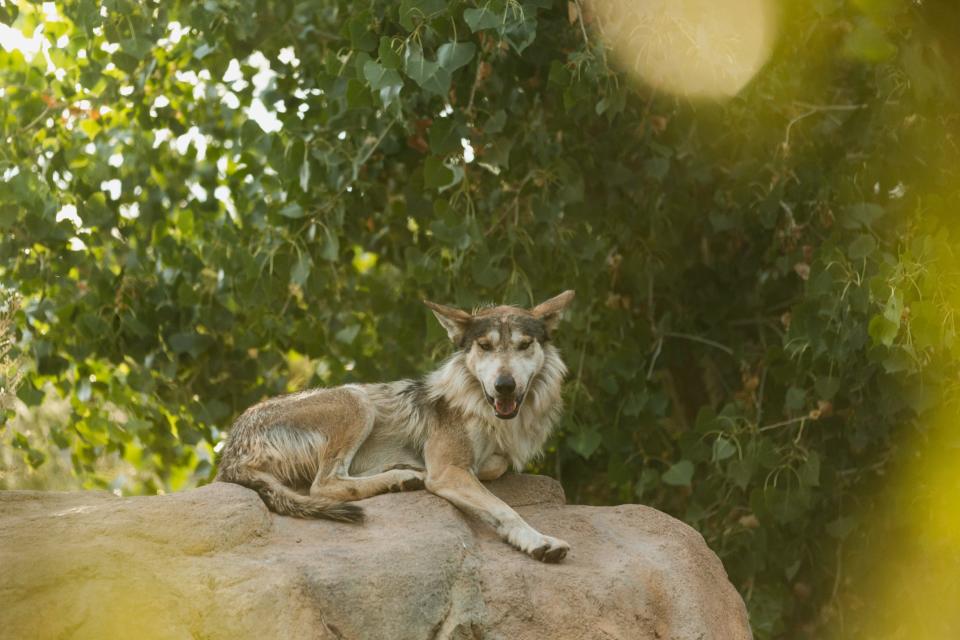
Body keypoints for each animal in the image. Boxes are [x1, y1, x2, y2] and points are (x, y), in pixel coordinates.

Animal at [217, 290, 572, 560]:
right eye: (485, 346)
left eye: (524, 345)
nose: (505, 386)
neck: (482, 409)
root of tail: (230, 451)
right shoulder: (447, 470)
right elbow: (504, 508)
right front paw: (540, 541)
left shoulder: (481, 462)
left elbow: (495, 467)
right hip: (356, 399)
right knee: (325, 484)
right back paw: (401, 478)